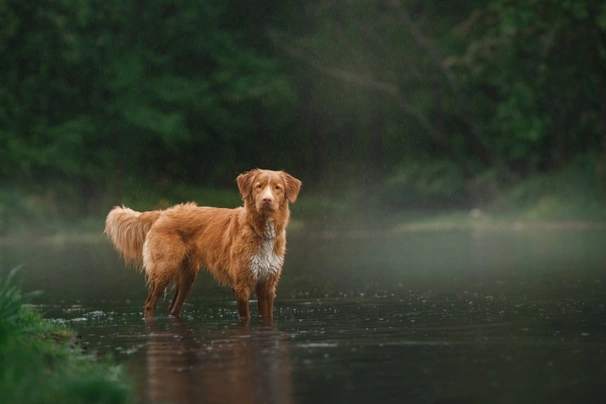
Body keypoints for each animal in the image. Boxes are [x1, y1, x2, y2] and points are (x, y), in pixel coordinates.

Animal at [107, 167, 304, 318]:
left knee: (173, 308)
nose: (266, 200)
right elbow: (246, 317)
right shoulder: (242, 285)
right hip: (163, 270)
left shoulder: (267, 286)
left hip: (187, 277)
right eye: (258, 187)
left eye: (277, 188)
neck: (260, 230)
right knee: (149, 304)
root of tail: (163, 213)